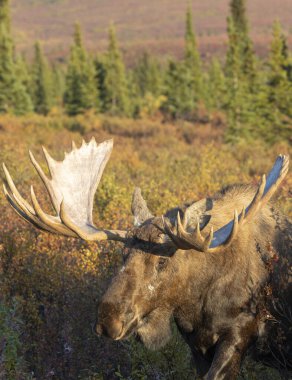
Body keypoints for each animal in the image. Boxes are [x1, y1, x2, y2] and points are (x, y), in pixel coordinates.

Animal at [2, 139, 292, 380]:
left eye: (162, 262)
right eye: (122, 254)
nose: (108, 320)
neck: (197, 300)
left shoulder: (239, 334)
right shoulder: (196, 344)